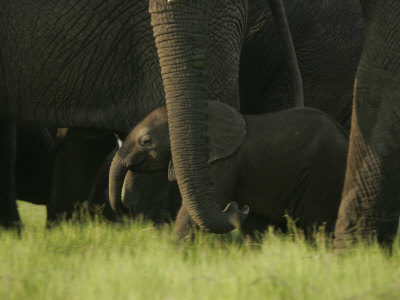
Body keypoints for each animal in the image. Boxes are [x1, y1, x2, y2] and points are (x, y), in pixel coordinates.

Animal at [108, 103, 346, 239]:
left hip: (324, 173)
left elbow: (200, 208)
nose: (127, 208)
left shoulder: (221, 164)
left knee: (317, 226)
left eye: (146, 142)